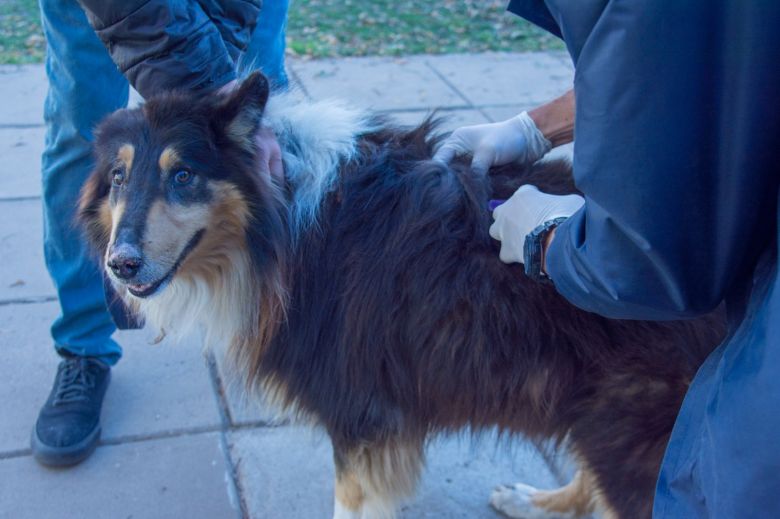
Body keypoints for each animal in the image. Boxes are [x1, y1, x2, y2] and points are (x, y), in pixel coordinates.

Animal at [79, 73, 724, 519]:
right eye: (119, 177)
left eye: (183, 174)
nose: (120, 264)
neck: (284, 221)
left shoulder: (358, 412)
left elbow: (349, 502)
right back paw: (532, 501)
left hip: (632, 427)